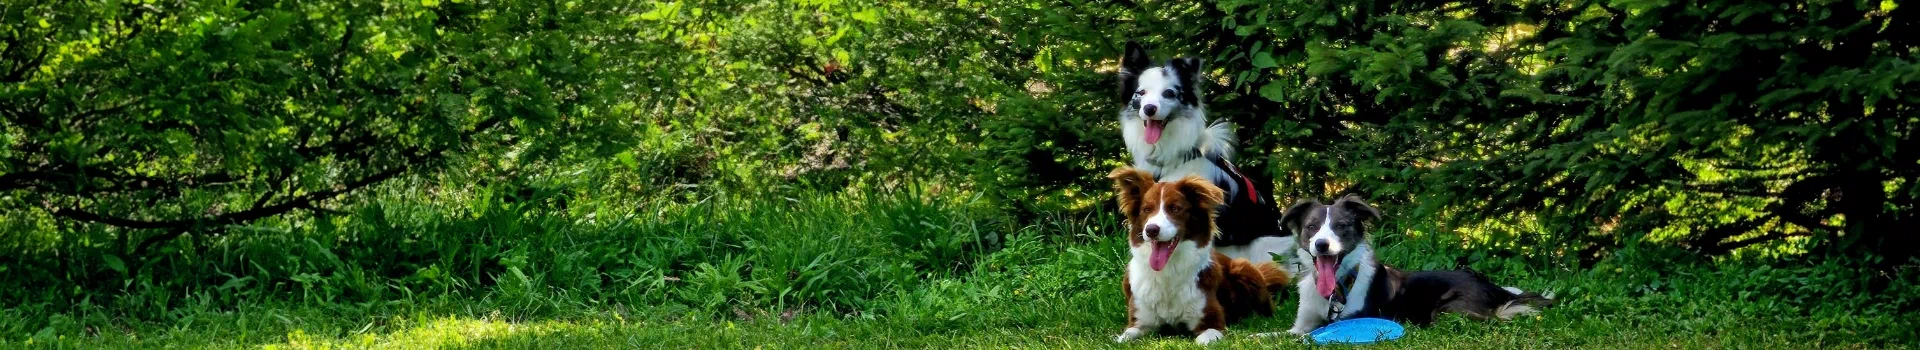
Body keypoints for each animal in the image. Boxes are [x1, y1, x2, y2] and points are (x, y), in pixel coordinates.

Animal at [1113, 166, 1290, 344]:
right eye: (1146, 209)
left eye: (1175, 208)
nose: (1151, 230)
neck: (1168, 272)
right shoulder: (1139, 322)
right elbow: (1124, 337)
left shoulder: (1212, 322)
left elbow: (1202, 340)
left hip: (1244, 267)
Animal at [1267, 195, 1551, 334]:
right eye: (1311, 227)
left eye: (1341, 226)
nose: (1322, 245)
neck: (1338, 286)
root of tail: (1493, 287)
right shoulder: (1299, 326)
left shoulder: (1350, 319)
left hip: (1447, 310)